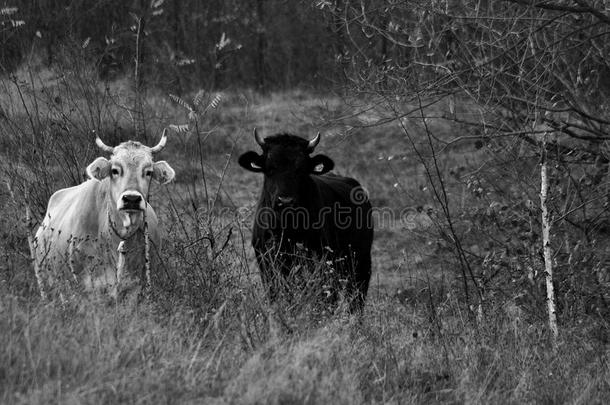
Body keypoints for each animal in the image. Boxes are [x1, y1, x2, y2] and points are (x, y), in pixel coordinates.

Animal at [236, 128, 370, 310]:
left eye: (301, 169)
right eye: (269, 168)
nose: (285, 201)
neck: (288, 229)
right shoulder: (267, 265)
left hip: (361, 266)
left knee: (355, 302)